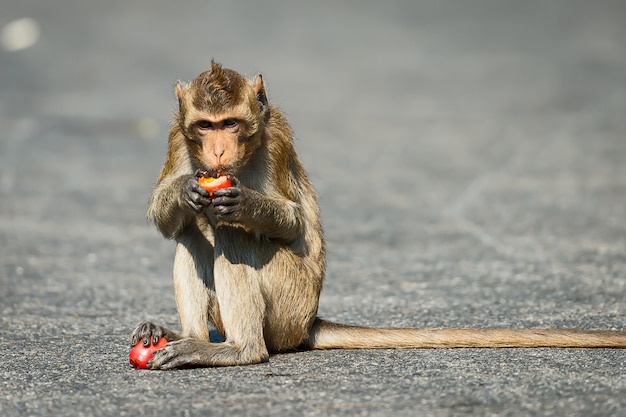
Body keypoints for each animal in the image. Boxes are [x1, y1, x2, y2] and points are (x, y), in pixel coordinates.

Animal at [132, 60, 624, 368]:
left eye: (231, 124)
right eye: (205, 126)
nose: (217, 153)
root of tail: (308, 323)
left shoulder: (277, 139)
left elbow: (290, 221)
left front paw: (244, 203)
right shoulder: (177, 136)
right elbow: (165, 215)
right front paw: (185, 190)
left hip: (289, 308)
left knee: (229, 233)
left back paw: (239, 349)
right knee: (193, 232)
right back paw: (189, 336)